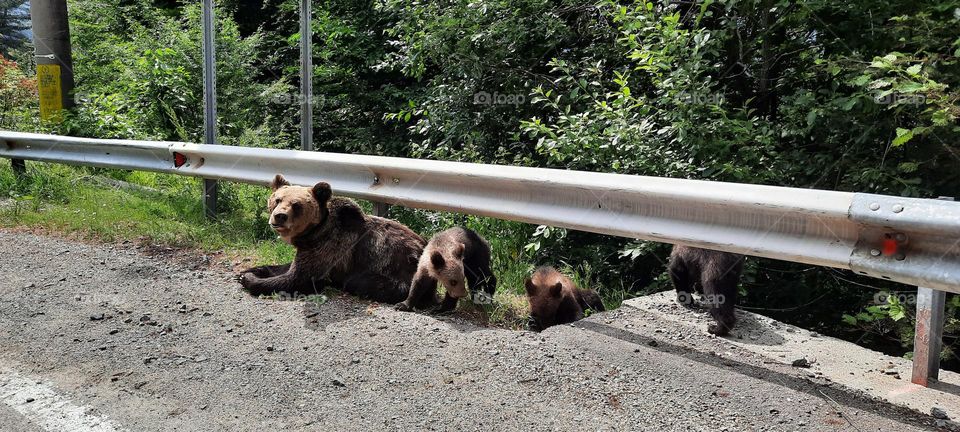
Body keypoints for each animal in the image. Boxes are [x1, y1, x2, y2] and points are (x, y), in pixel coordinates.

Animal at [239, 174, 426, 304]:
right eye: (277, 199)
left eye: (296, 205)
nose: (279, 216)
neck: (313, 232)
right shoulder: (310, 249)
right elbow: (287, 267)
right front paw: (250, 270)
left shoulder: (331, 246)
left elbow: (298, 279)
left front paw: (249, 279)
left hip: (397, 269)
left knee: (357, 282)